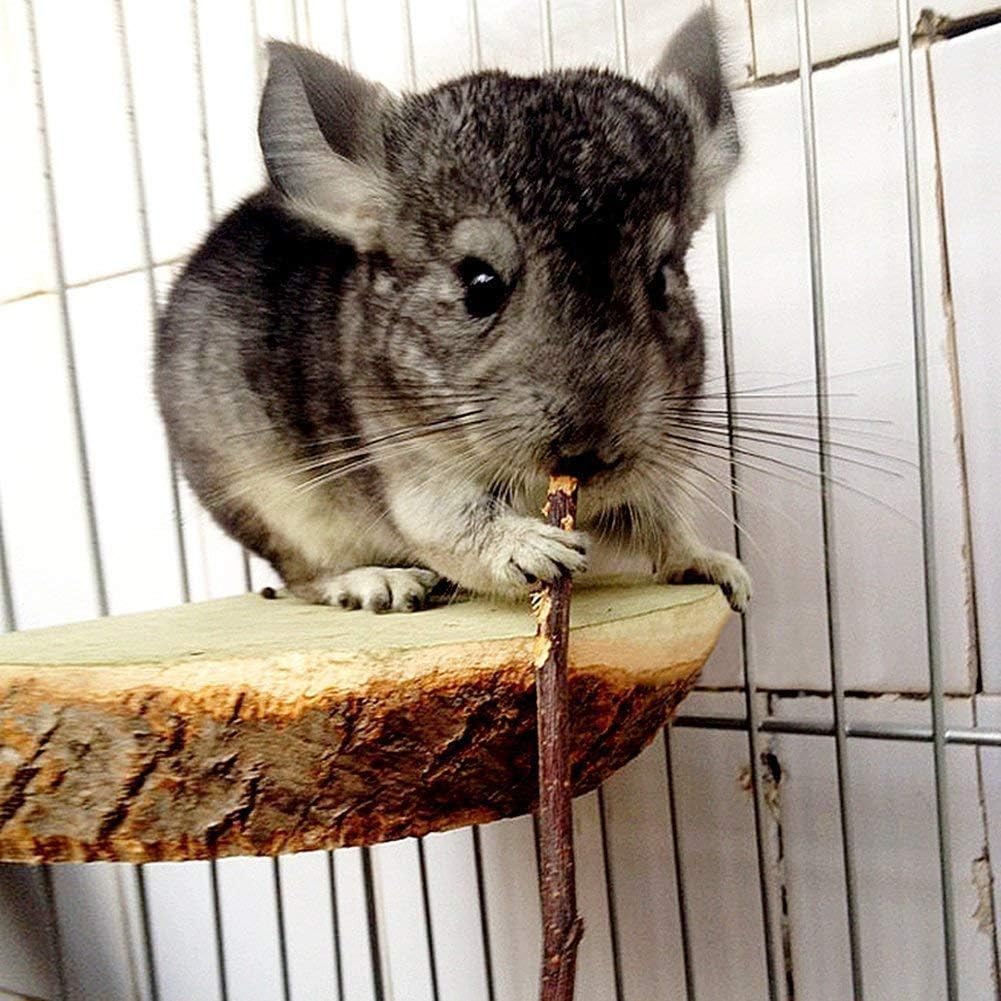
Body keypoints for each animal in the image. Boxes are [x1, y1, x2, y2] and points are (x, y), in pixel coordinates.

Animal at [155, 9, 751, 614]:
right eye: (480, 284)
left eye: (661, 279)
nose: (588, 451)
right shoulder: (411, 475)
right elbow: (456, 527)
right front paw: (538, 551)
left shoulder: (651, 471)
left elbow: (661, 519)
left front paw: (721, 571)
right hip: (272, 507)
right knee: (303, 577)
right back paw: (379, 583)